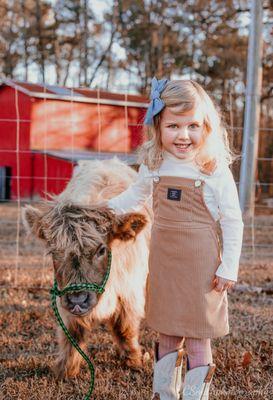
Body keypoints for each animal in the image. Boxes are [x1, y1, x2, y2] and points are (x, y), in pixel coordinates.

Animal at [22, 158, 151, 380]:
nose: (78, 300)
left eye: (101, 250)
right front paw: (66, 369)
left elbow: (124, 328)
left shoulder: (130, 293)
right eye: (53, 251)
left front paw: (133, 361)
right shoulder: (64, 297)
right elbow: (72, 333)